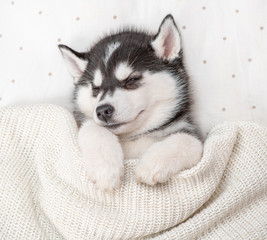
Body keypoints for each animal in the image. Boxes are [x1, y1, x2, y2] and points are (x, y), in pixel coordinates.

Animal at [59, 15, 203, 191]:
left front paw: (151, 164)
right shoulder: (86, 124)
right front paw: (106, 169)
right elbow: (92, 126)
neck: (134, 135)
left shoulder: (193, 135)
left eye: (131, 80)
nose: (102, 111)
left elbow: (188, 140)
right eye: (95, 88)